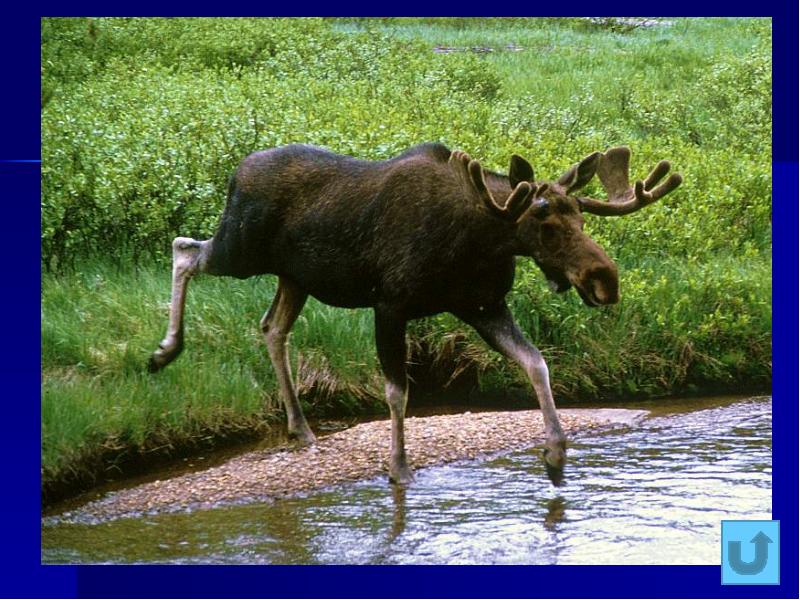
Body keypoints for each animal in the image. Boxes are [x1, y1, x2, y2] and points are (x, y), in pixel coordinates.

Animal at [148, 143, 680, 486]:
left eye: (581, 216)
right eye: (543, 221)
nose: (604, 279)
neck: (478, 241)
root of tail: (236, 173)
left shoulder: (483, 306)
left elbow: (537, 363)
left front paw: (554, 452)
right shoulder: (390, 305)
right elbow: (397, 392)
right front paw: (399, 467)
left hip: (293, 277)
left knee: (272, 327)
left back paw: (300, 427)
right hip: (240, 249)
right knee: (184, 249)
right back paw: (164, 351)